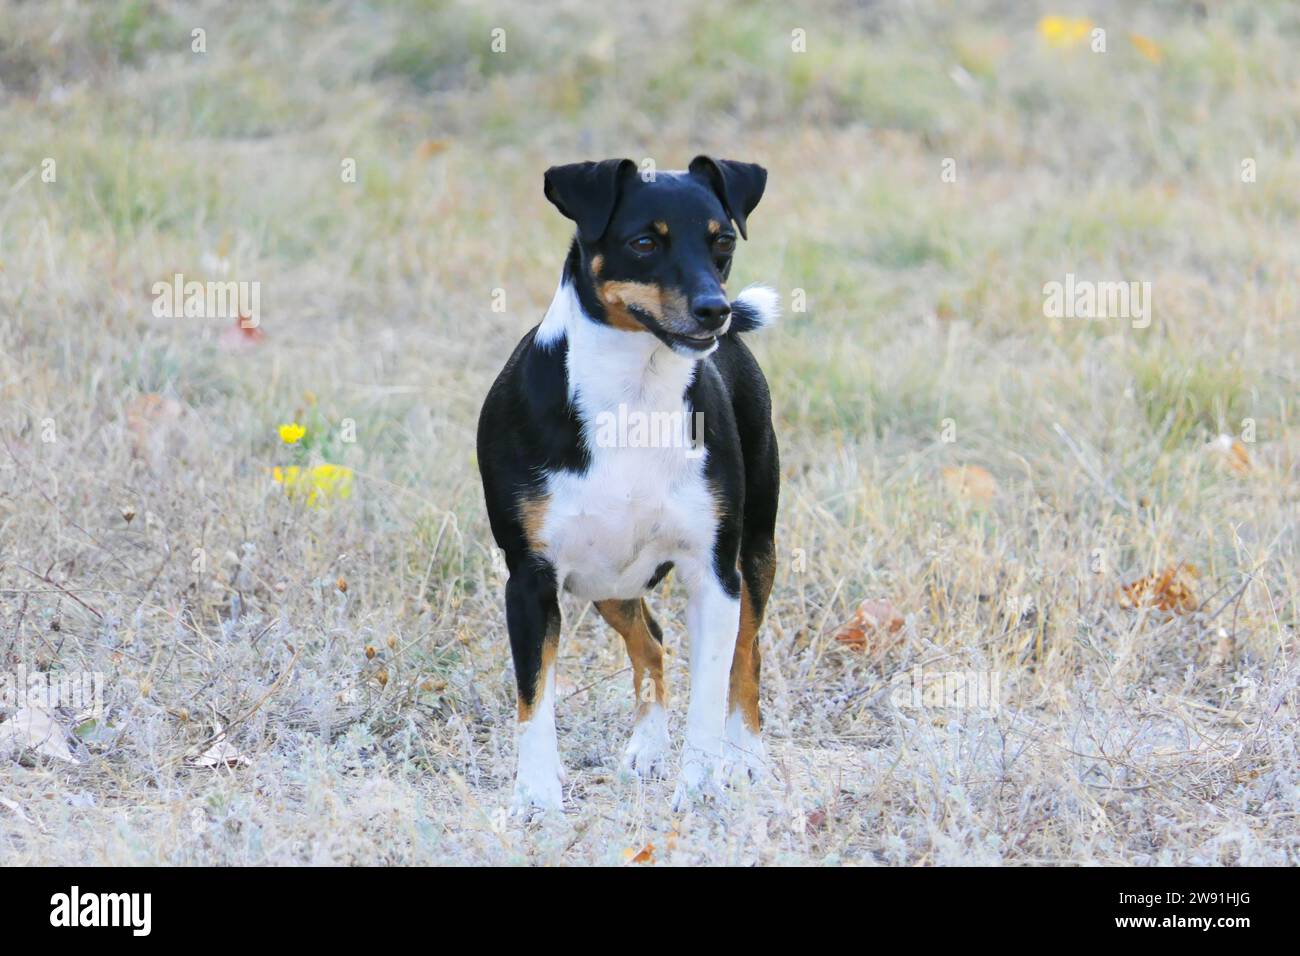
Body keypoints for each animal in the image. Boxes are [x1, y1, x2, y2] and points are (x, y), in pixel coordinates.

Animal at [478, 157, 780, 816]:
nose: (715, 310)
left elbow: (711, 691)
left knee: (747, 654)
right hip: (609, 581)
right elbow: (534, 699)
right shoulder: (530, 579)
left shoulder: (715, 575)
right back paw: (646, 748)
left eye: (723, 241)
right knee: (652, 640)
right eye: (644, 243)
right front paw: (536, 799)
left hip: (756, 553)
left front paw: (700, 787)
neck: (634, 395)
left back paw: (745, 756)